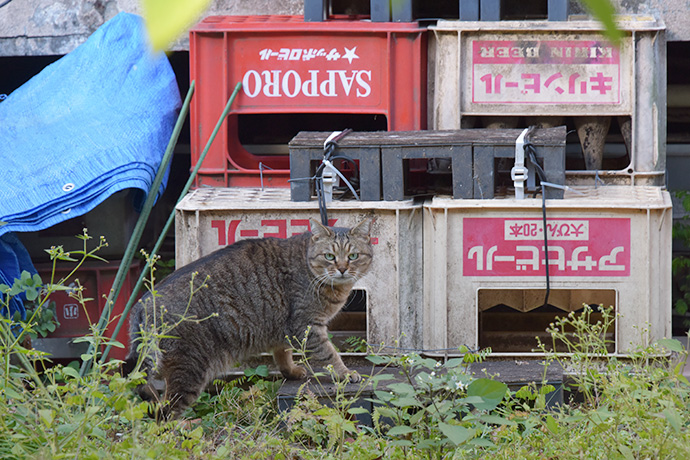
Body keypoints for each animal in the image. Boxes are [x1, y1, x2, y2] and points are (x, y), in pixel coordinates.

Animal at [123, 217, 370, 418]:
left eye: (353, 256)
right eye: (329, 256)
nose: (342, 269)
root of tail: (144, 302)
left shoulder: (284, 326)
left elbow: (282, 353)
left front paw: (291, 371)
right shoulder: (307, 327)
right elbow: (330, 354)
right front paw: (346, 373)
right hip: (189, 369)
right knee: (164, 414)